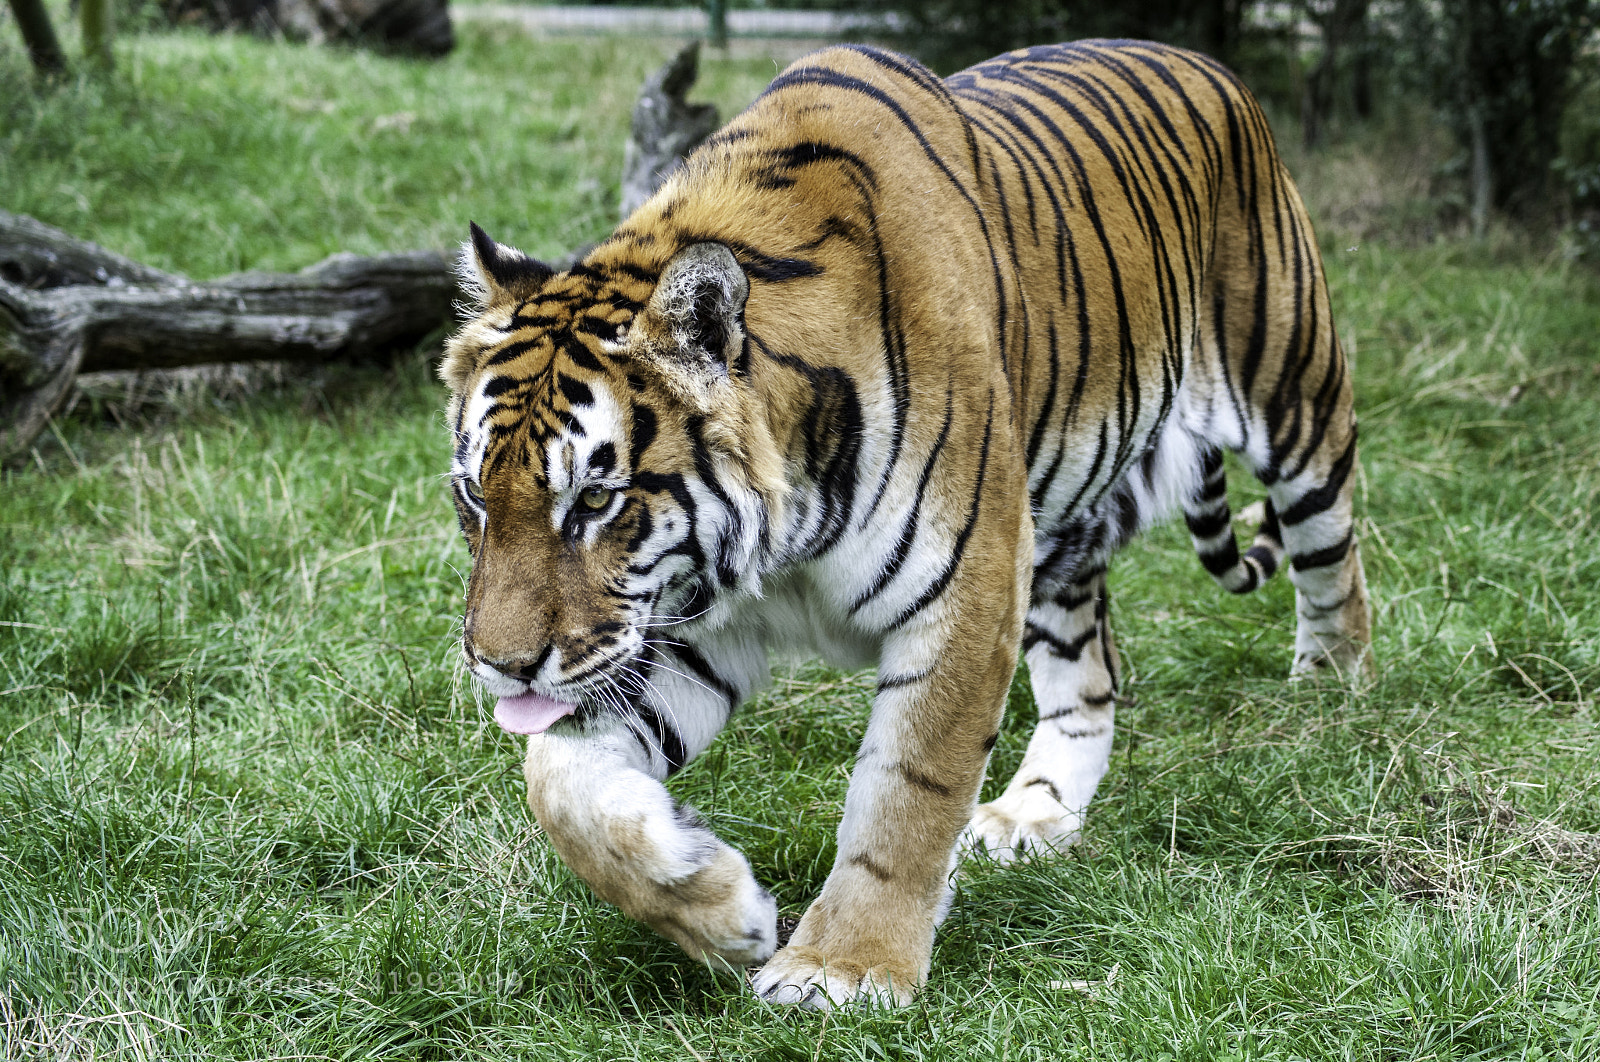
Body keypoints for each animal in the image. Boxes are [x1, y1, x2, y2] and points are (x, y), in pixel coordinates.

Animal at [440, 39, 1372, 1009]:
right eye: (476, 496)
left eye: (595, 499)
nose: (498, 666)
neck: (778, 541)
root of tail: (1203, 63)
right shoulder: (693, 626)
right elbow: (559, 780)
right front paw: (718, 907)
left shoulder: (967, 589)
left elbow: (907, 795)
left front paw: (840, 969)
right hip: (1057, 533)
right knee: (1091, 677)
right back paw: (1034, 812)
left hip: (1294, 396)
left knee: (1334, 560)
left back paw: (1329, 704)